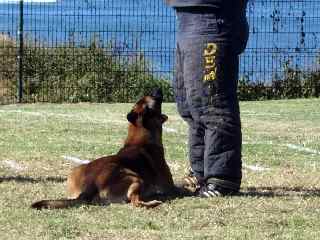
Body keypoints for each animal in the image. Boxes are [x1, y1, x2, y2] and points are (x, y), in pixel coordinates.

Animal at [31, 89, 176, 209]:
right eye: (152, 99)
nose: (158, 89)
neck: (140, 136)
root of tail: (90, 186)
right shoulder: (169, 187)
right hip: (135, 178)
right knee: (136, 202)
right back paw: (154, 202)